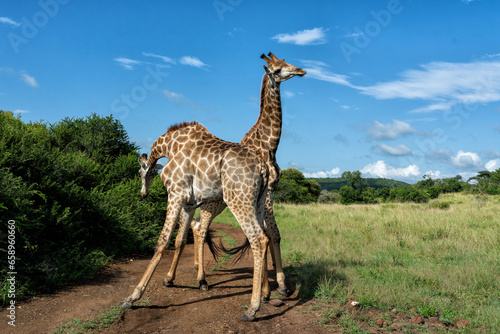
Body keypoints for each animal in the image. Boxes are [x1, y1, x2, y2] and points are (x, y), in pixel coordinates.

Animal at [118, 120, 270, 320]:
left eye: (141, 172)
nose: (143, 194)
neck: (171, 146)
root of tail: (263, 167)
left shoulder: (175, 194)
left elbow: (162, 241)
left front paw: (133, 296)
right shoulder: (189, 203)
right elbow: (180, 240)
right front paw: (169, 279)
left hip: (238, 199)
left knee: (258, 239)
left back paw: (252, 308)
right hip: (259, 201)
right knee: (265, 237)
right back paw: (266, 294)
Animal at [164, 52, 304, 298]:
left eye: (287, 62)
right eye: (277, 69)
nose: (301, 71)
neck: (269, 144)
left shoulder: (268, 193)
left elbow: (271, 234)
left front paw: (273, 287)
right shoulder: (267, 193)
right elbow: (272, 233)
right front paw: (277, 287)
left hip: (215, 203)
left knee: (195, 226)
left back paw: (195, 270)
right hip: (214, 203)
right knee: (197, 228)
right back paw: (189, 278)